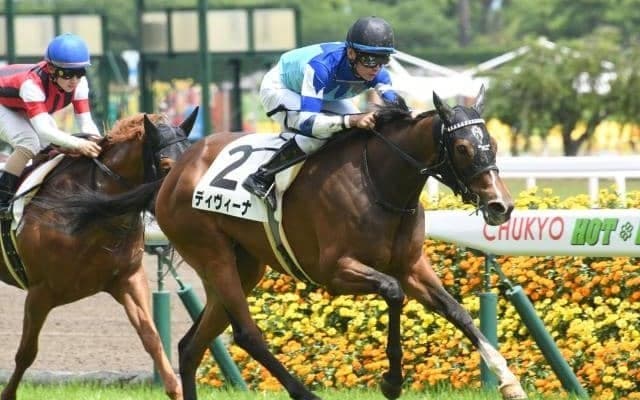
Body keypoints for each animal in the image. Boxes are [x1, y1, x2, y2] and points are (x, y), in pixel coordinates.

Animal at [0, 109, 196, 400]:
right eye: (166, 166)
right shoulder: (40, 292)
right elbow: (26, 353)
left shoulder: (127, 279)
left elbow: (152, 337)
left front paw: (175, 390)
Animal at [63, 87, 527, 400]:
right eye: (463, 147)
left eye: (493, 144)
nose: (500, 206)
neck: (380, 181)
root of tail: (172, 175)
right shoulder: (335, 269)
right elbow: (394, 293)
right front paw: (392, 381)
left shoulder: (412, 265)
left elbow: (457, 312)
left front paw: (508, 380)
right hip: (211, 253)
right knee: (247, 335)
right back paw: (305, 393)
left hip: (244, 265)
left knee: (191, 345)